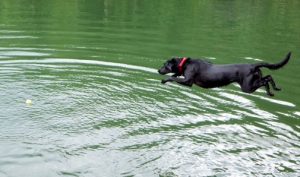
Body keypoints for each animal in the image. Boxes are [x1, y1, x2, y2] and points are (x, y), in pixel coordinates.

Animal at [158, 52, 292, 97]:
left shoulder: (188, 82)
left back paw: (271, 91)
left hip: (247, 87)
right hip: (253, 81)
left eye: (165, 65)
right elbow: (175, 76)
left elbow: (172, 77)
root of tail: (253, 65)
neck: (185, 63)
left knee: (266, 80)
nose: (158, 70)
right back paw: (274, 90)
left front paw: (164, 80)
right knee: (268, 77)